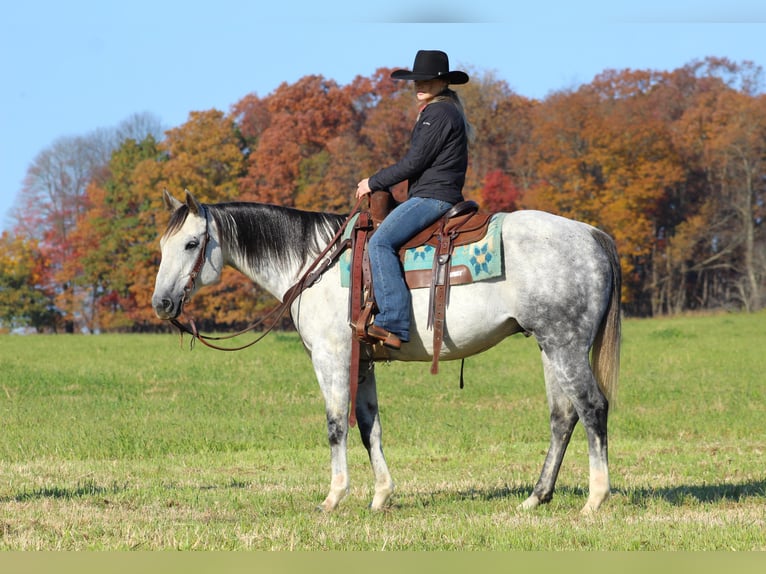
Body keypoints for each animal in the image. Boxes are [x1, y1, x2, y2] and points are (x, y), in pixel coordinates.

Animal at [153, 191, 620, 516]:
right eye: (162, 246)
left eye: (192, 244)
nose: (161, 303)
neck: (312, 263)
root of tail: (592, 235)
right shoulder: (362, 364)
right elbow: (368, 428)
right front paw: (380, 497)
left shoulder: (332, 358)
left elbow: (336, 426)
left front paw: (333, 497)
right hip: (550, 346)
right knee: (563, 417)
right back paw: (536, 498)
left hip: (564, 344)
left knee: (592, 408)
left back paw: (595, 500)